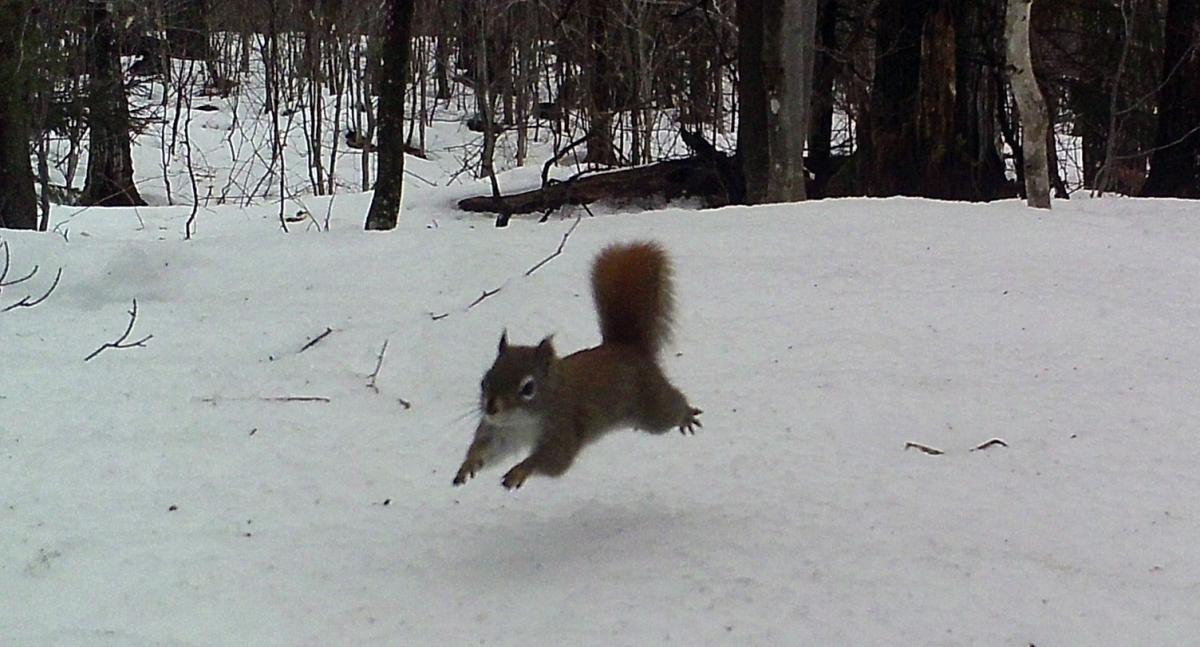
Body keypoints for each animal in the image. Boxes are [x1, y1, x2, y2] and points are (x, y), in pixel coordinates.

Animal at [453, 241, 702, 490]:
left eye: (528, 388)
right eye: (485, 380)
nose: (491, 408)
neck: (520, 422)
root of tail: (627, 348)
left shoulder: (562, 427)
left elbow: (554, 460)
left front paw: (519, 471)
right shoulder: (500, 433)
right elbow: (487, 450)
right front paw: (468, 464)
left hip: (652, 407)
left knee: (671, 407)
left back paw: (686, 415)